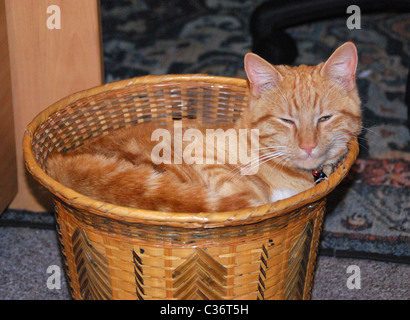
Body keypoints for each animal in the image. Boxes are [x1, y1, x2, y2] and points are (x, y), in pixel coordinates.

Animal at [47, 42, 362, 212]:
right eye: (287, 120)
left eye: (324, 118)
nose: (308, 146)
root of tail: (60, 160)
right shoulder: (203, 152)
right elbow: (245, 191)